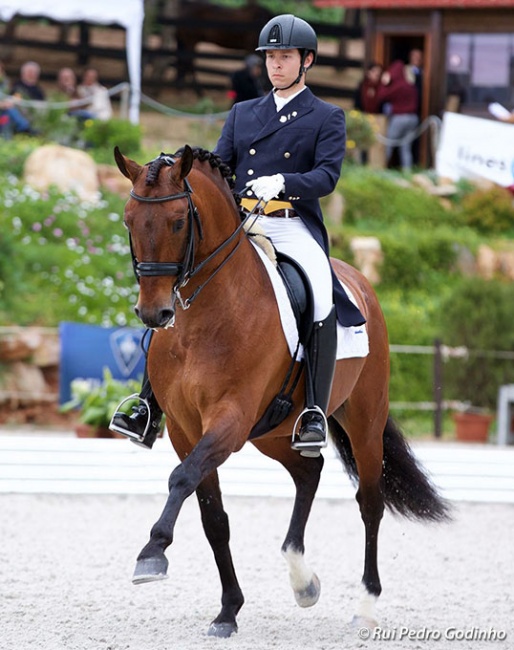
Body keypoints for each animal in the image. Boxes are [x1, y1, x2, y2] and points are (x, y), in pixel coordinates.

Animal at [113, 144, 448, 636]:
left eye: (177, 221)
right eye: (129, 219)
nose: (154, 314)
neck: (206, 314)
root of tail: (359, 281)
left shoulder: (229, 419)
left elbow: (181, 479)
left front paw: (152, 554)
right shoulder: (185, 429)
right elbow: (212, 516)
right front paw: (228, 611)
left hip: (363, 423)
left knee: (370, 503)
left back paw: (366, 606)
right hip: (273, 431)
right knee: (309, 472)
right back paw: (303, 581)